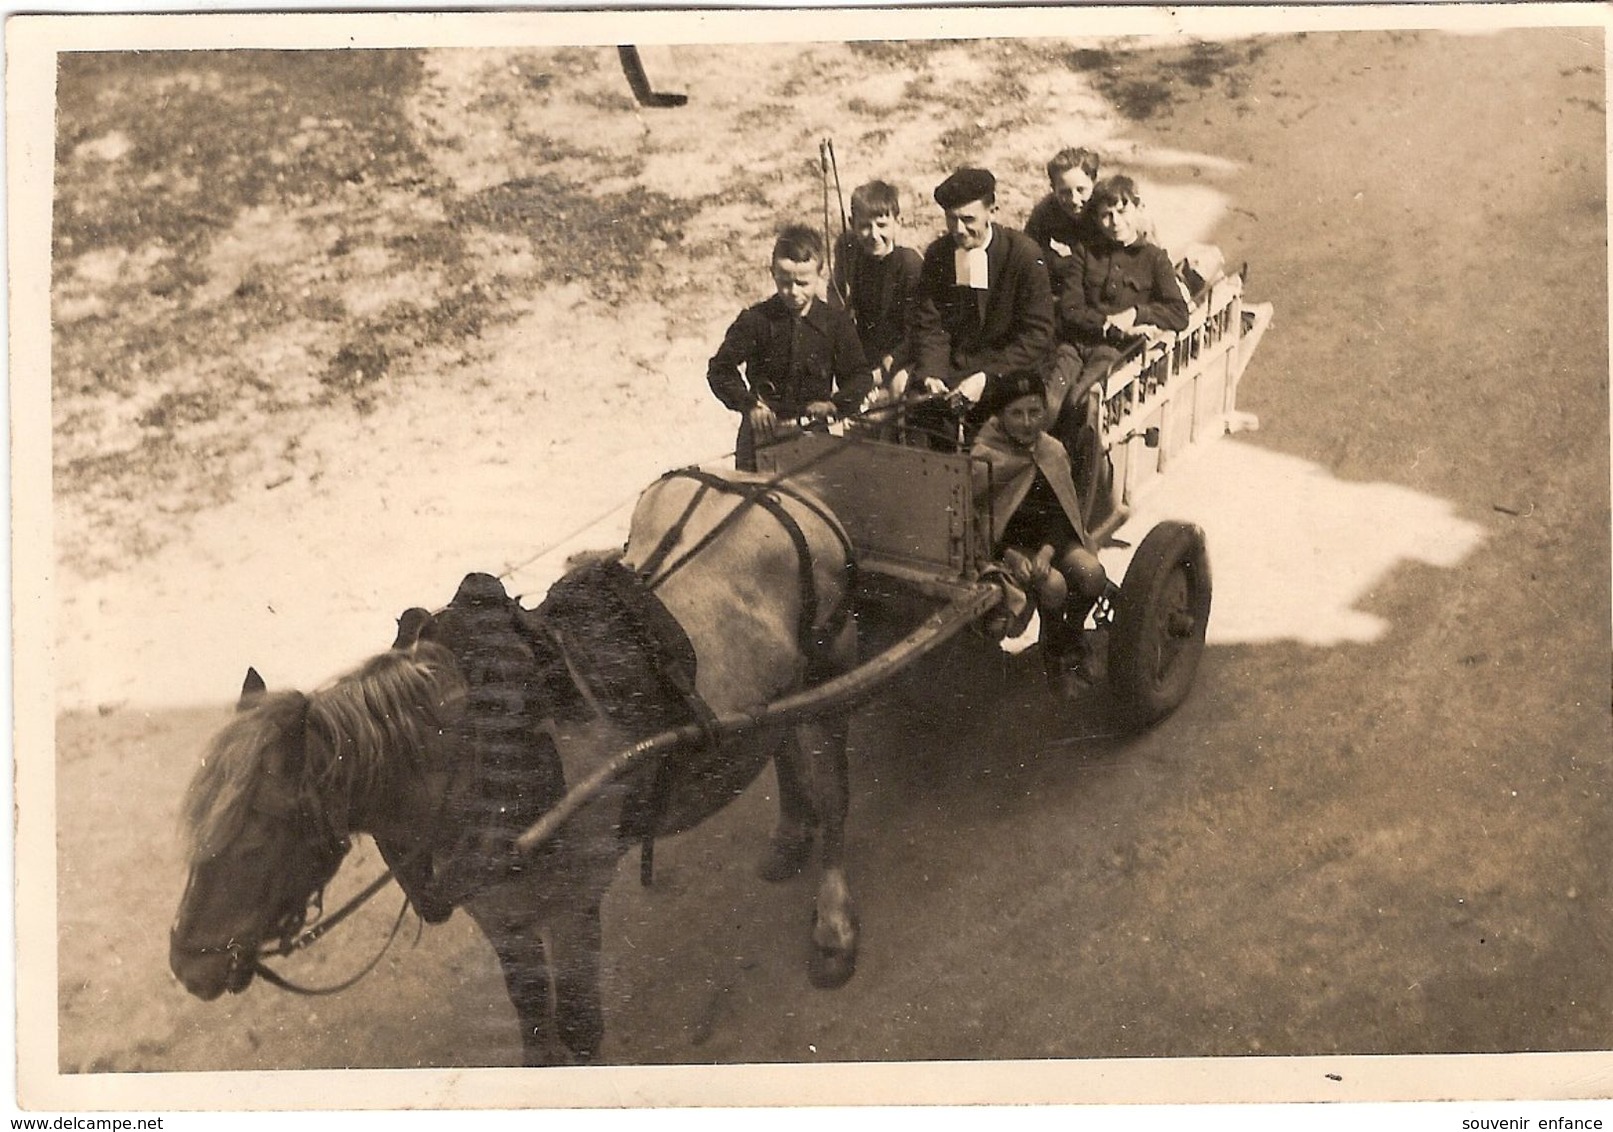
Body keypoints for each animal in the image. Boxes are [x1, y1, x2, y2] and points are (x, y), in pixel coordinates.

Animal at [168, 467, 864, 1064]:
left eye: (260, 835)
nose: (187, 964)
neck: (479, 757)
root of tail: (780, 488)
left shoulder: (572, 904)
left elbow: (579, 1027)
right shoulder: (498, 913)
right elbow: (530, 1016)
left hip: (828, 674)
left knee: (833, 794)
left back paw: (832, 920)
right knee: (783, 745)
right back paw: (790, 834)